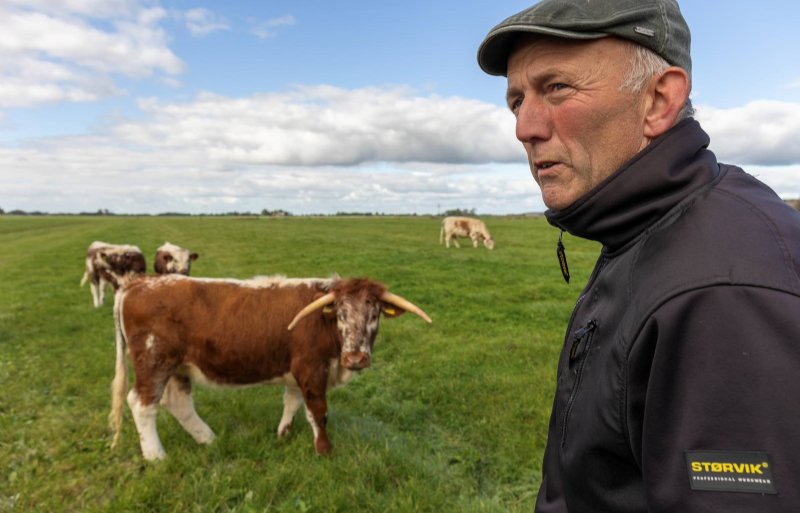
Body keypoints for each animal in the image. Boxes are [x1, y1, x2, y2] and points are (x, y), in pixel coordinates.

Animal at [109, 274, 432, 458]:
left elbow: (291, 403)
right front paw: (324, 451)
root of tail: (136, 284)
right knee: (142, 404)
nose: (355, 358)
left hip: (178, 367)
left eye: (374, 313)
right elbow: (318, 412)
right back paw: (156, 456)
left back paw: (209, 439)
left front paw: (283, 434)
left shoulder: (296, 372)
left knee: (179, 404)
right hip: (154, 361)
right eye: (340, 313)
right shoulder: (311, 369)